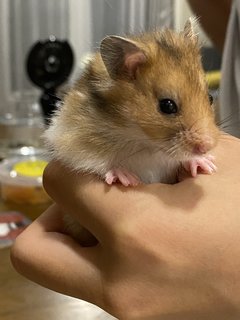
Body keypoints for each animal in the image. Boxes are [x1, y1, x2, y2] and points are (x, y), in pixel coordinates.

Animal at [44, 17, 220, 241]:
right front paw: (127, 179)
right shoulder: (69, 138)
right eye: (167, 105)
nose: (207, 146)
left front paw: (206, 164)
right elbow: (96, 161)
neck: (142, 139)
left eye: (210, 97)